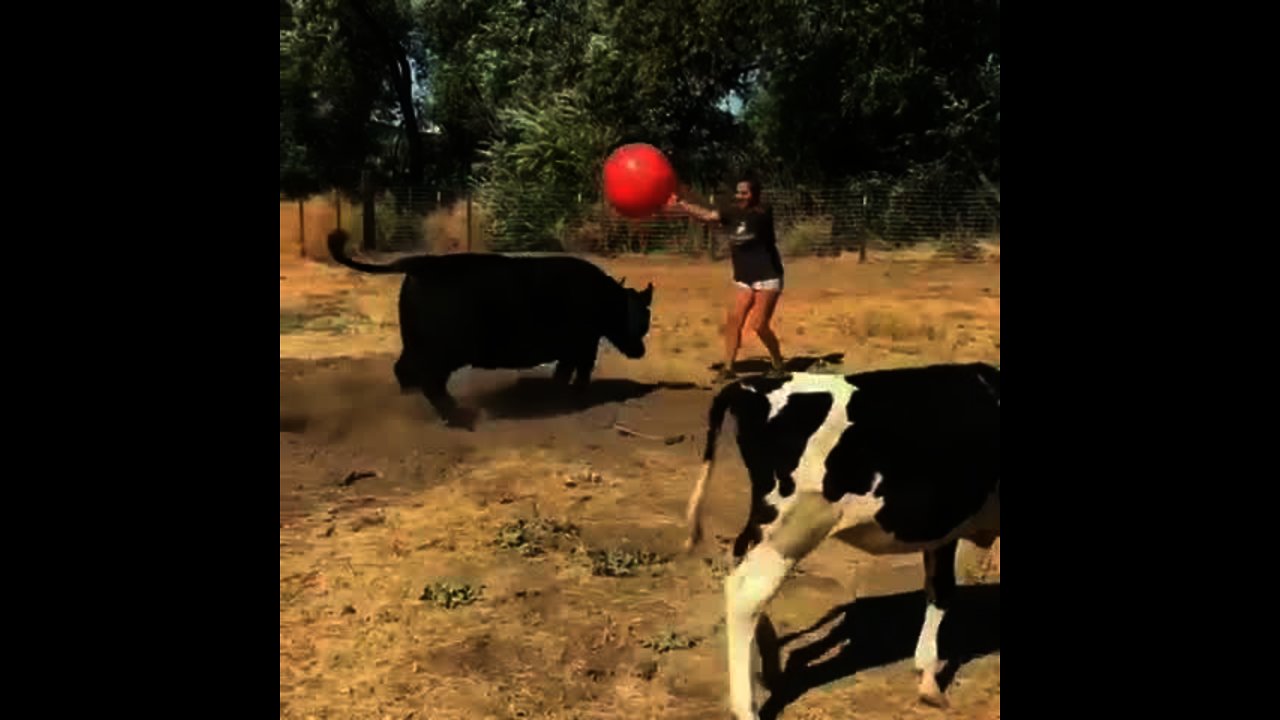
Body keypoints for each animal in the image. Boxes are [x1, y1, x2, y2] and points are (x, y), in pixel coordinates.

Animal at [325, 228, 655, 425]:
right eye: (641, 319)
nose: (641, 351)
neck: (607, 299)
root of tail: (424, 264)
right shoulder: (584, 343)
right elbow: (580, 371)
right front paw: (574, 397)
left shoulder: (573, 347)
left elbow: (563, 371)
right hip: (441, 351)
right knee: (430, 381)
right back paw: (460, 417)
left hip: (416, 344)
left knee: (405, 372)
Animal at [686, 363, 1003, 717]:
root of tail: (751, 386)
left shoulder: (944, 531)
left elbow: (940, 590)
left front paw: (927, 681)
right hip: (795, 526)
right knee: (747, 594)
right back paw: (746, 708)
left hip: (768, 525)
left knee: (739, 569)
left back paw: (769, 663)